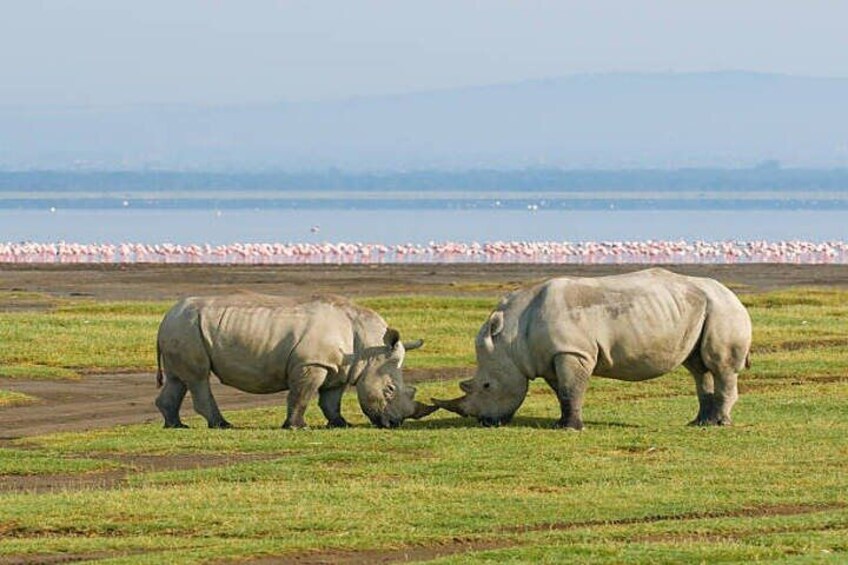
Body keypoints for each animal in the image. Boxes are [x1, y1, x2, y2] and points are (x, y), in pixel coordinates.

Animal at [155, 293, 437, 429]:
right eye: (390, 389)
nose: (396, 424)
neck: (370, 348)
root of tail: (167, 315)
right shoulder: (311, 363)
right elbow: (302, 395)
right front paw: (297, 427)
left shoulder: (338, 367)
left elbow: (331, 400)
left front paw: (340, 424)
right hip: (187, 327)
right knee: (198, 377)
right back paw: (222, 425)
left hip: (183, 326)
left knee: (178, 379)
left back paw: (176, 426)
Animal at [434, 268, 752, 429]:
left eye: (487, 386)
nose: (485, 422)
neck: (512, 338)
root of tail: (734, 295)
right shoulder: (552, 356)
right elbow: (562, 391)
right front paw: (562, 422)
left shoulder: (572, 351)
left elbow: (570, 389)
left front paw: (569, 428)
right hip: (703, 309)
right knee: (698, 367)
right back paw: (698, 423)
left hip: (724, 311)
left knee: (720, 366)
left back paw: (719, 424)